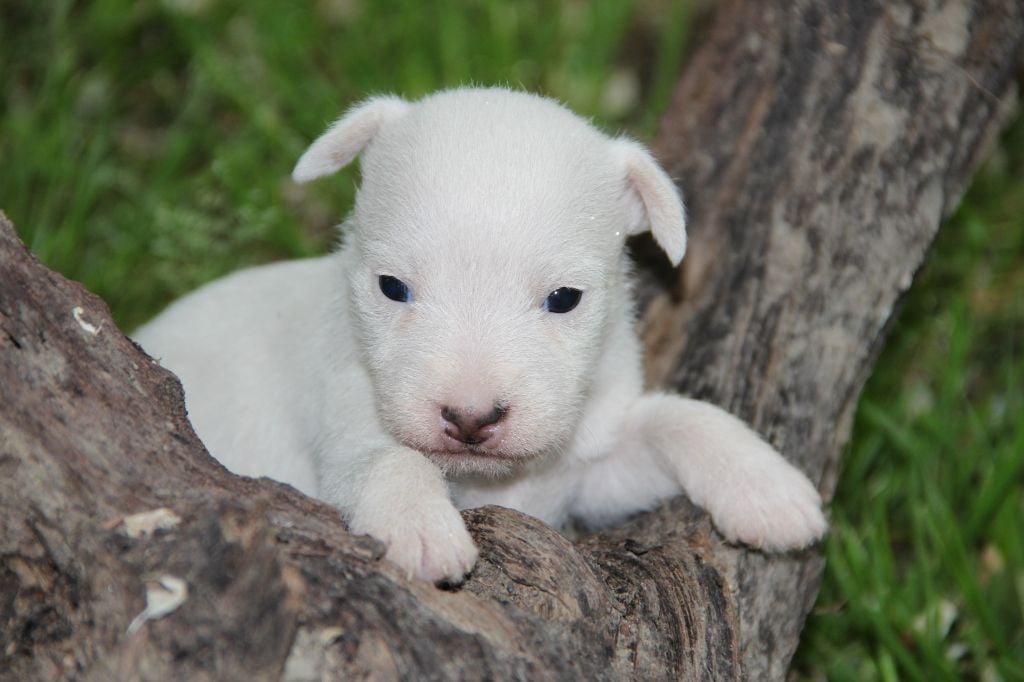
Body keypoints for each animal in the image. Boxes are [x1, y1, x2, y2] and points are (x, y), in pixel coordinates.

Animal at [134, 87, 823, 581]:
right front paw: (420, 529)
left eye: (565, 299)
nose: (471, 418)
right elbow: (389, 458)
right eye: (391, 287)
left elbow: (672, 418)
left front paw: (767, 488)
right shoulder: (342, 441)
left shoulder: (594, 471)